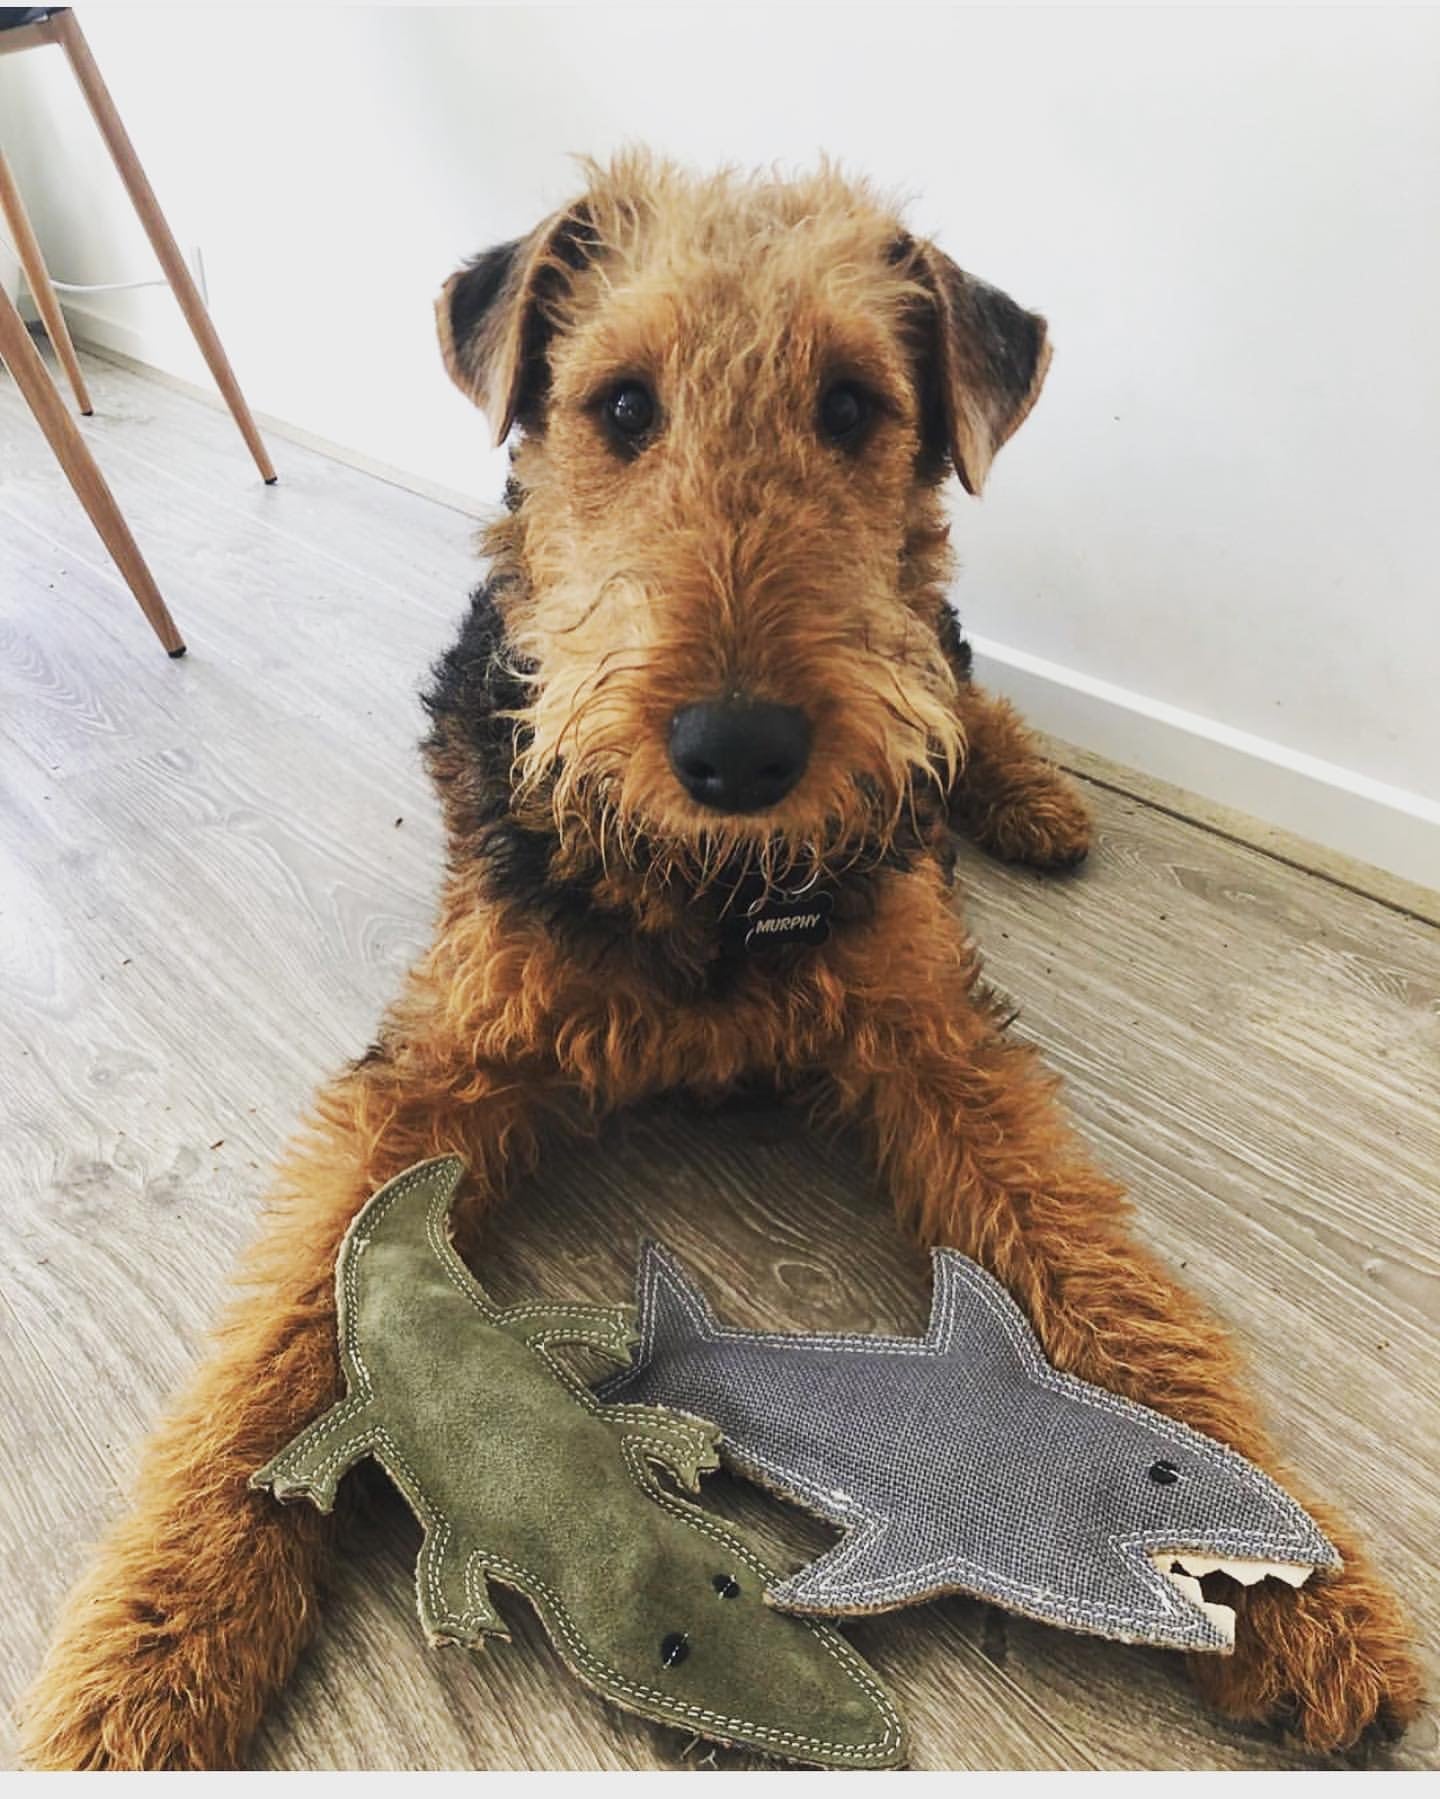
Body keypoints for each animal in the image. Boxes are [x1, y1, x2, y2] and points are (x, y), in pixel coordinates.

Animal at [19, 154, 1418, 1770]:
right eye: (621, 404)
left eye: (855, 406)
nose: (736, 753)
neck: (708, 885)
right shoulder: (441, 1063)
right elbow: (290, 1334)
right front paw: (147, 1654)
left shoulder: (937, 1038)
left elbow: (1096, 1271)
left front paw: (1305, 1600)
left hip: (929, 673)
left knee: (958, 685)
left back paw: (1038, 799)